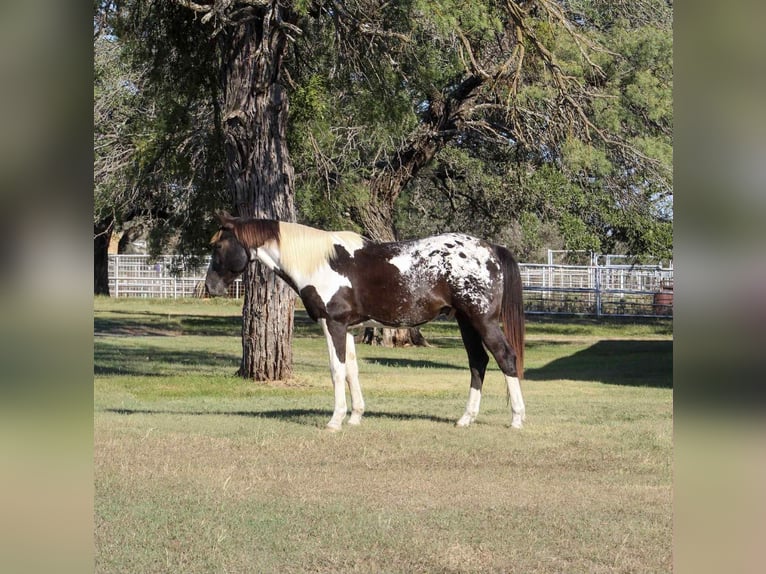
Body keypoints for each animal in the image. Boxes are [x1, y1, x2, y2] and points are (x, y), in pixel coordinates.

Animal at [205, 211, 526, 431]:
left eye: (218, 247)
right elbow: (352, 371)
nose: (210, 287)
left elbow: (337, 371)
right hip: (466, 322)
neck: (320, 262)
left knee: (505, 358)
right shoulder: (348, 329)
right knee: (478, 363)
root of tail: (492, 249)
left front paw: (335, 420)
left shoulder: (333, 324)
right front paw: (355, 416)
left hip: (482, 321)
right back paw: (465, 419)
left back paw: (517, 419)